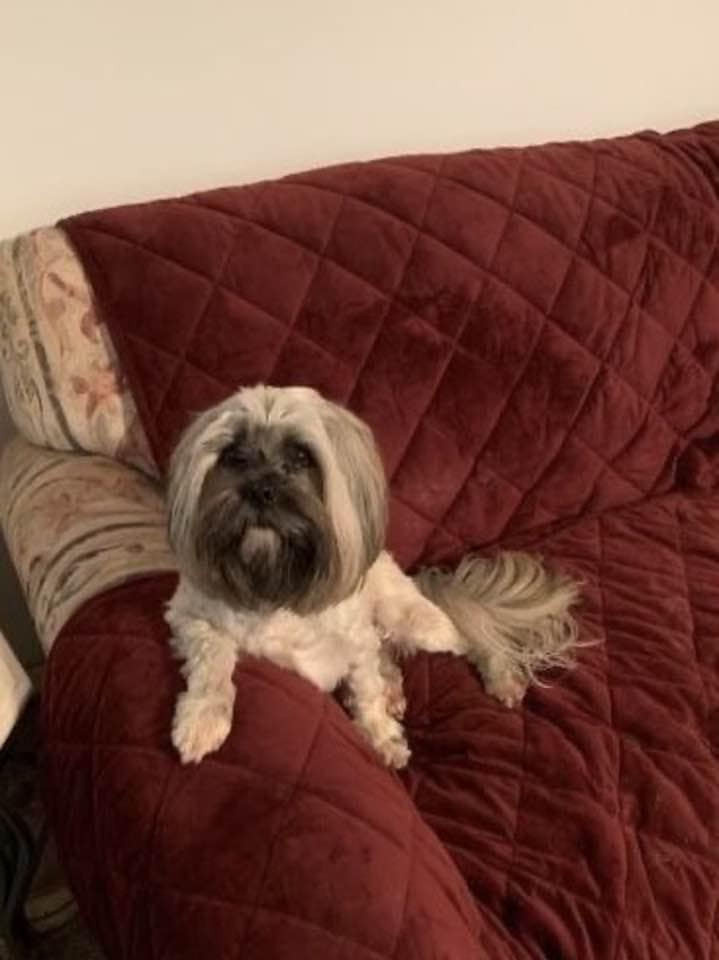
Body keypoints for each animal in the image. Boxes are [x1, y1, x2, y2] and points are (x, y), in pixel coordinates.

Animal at [163, 386, 580, 768]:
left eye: (301, 456)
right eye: (233, 456)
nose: (260, 489)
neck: (276, 580)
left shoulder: (355, 645)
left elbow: (366, 694)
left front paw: (381, 737)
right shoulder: (188, 617)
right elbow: (213, 658)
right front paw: (202, 719)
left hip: (419, 623)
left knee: (470, 636)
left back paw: (500, 677)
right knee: (391, 657)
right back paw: (394, 688)